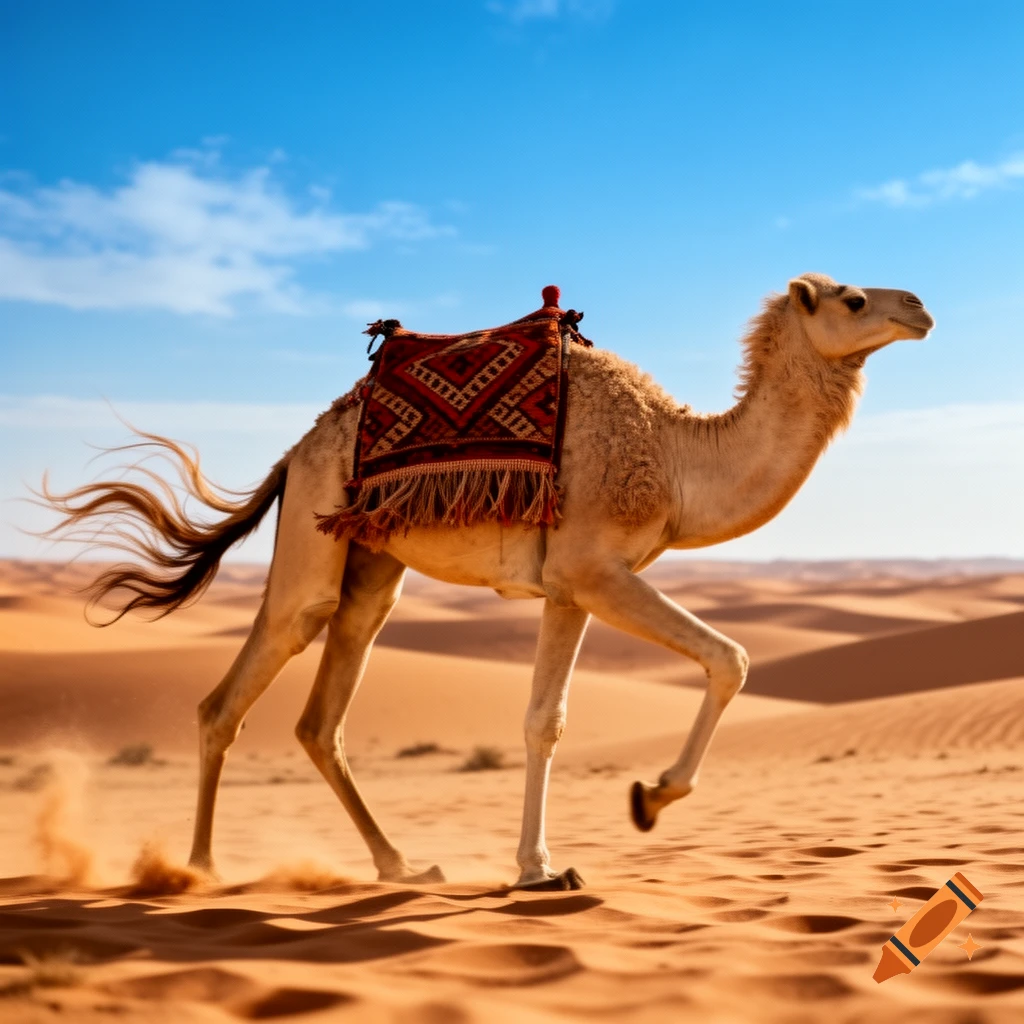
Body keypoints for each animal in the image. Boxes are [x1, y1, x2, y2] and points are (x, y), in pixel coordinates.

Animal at [41, 273, 934, 890]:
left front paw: (546, 863)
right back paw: (195, 870)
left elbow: (546, 719)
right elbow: (731, 658)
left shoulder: (570, 588)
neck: (678, 459)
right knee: (233, 693)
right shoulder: (593, 568)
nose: (920, 307)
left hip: (374, 566)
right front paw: (644, 802)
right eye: (854, 298)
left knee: (322, 716)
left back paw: (401, 865)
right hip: (313, 544)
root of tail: (294, 453)